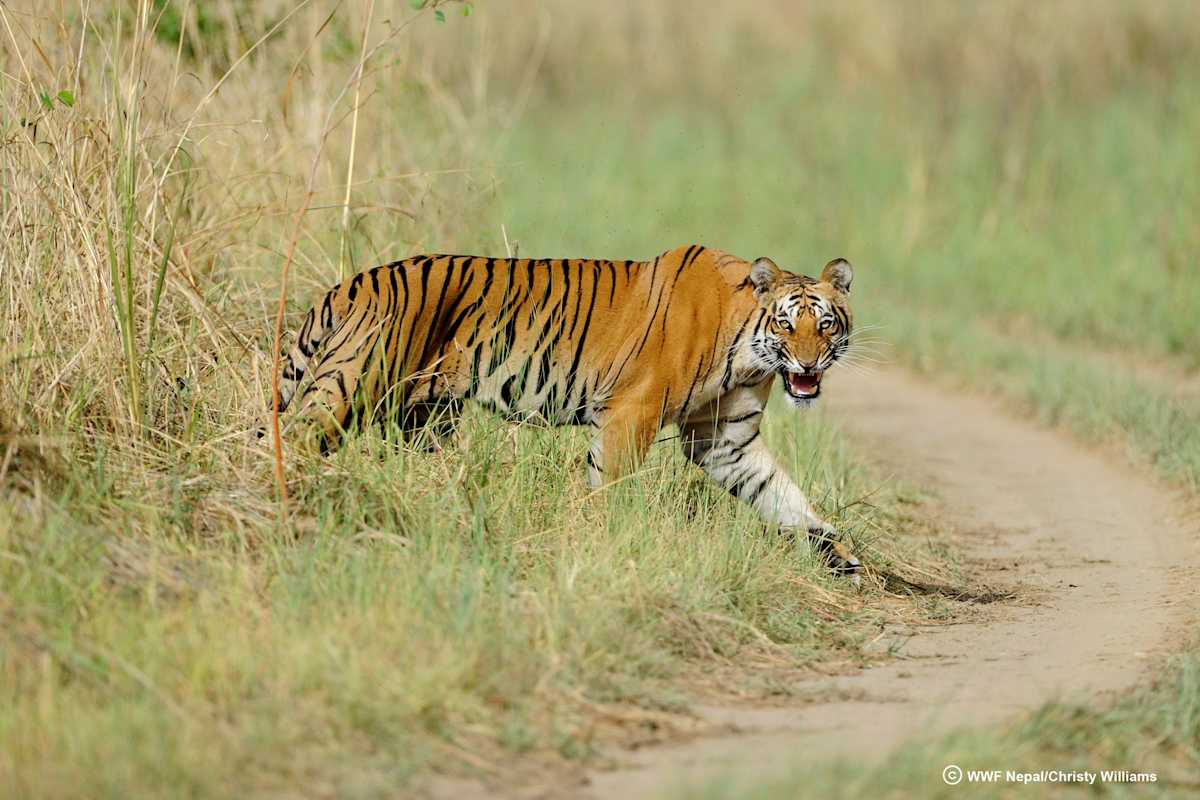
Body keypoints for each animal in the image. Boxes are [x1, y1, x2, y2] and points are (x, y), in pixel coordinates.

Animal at [272, 245, 860, 575]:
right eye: (786, 323)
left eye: (825, 324)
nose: (809, 363)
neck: (747, 353)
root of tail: (352, 284)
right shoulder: (630, 413)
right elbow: (611, 488)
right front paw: (608, 545)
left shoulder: (723, 438)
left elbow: (780, 493)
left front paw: (838, 551)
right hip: (350, 388)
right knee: (295, 440)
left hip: (423, 416)